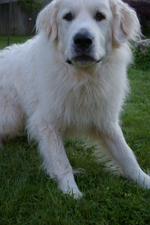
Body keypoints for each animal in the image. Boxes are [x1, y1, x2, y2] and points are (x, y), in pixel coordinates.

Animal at [0, 0, 150, 198]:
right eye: (68, 16)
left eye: (100, 16)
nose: (83, 40)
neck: (83, 78)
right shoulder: (46, 122)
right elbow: (62, 162)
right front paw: (71, 192)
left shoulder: (105, 121)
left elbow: (127, 156)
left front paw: (144, 180)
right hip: (10, 118)